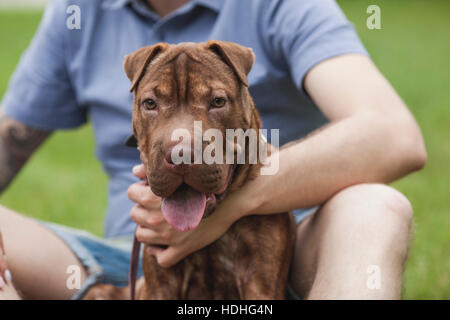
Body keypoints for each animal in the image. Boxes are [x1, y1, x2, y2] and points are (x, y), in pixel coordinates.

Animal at [84, 40, 296, 300]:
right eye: (150, 103)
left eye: (217, 101)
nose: (180, 155)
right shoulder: (160, 284)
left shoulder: (261, 283)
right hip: (100, 291)